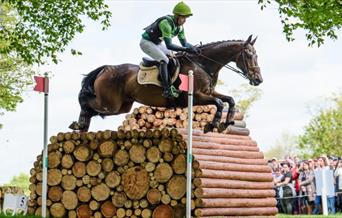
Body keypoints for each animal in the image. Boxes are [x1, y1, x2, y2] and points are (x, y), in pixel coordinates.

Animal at [69, 35, 262, 132]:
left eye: (256, 55)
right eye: (249, 55)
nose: (258, 79)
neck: (202, 64)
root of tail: (106, 68)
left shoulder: (208, 93)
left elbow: (229, 100)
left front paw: (225, 123)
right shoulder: (195, 97)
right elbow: (220, 102)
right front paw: (212, 124)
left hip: (122, 106)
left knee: (94, 109)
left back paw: (82, 125)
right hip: (111, 103)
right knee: (87, 101)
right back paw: (79, 123)